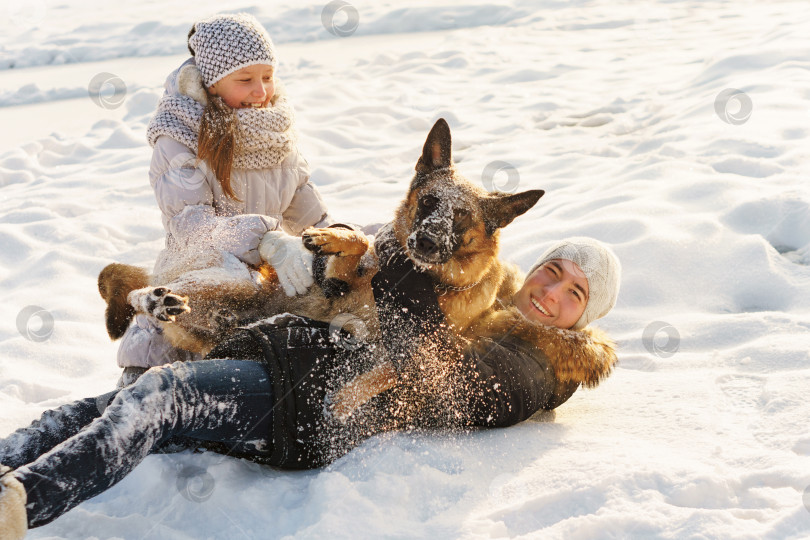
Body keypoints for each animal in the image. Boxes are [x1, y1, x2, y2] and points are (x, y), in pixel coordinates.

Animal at [99, 118, 544, 404]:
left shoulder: (416, 351)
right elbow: (358, 245)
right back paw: (153, 298)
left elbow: (385, 370)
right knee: (139, 290)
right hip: (236, 281)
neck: (421, 280)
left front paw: (346, 399)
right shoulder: (344, 279)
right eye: (429, 201)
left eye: (462, 217)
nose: (426, 242)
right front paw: (330, 238)